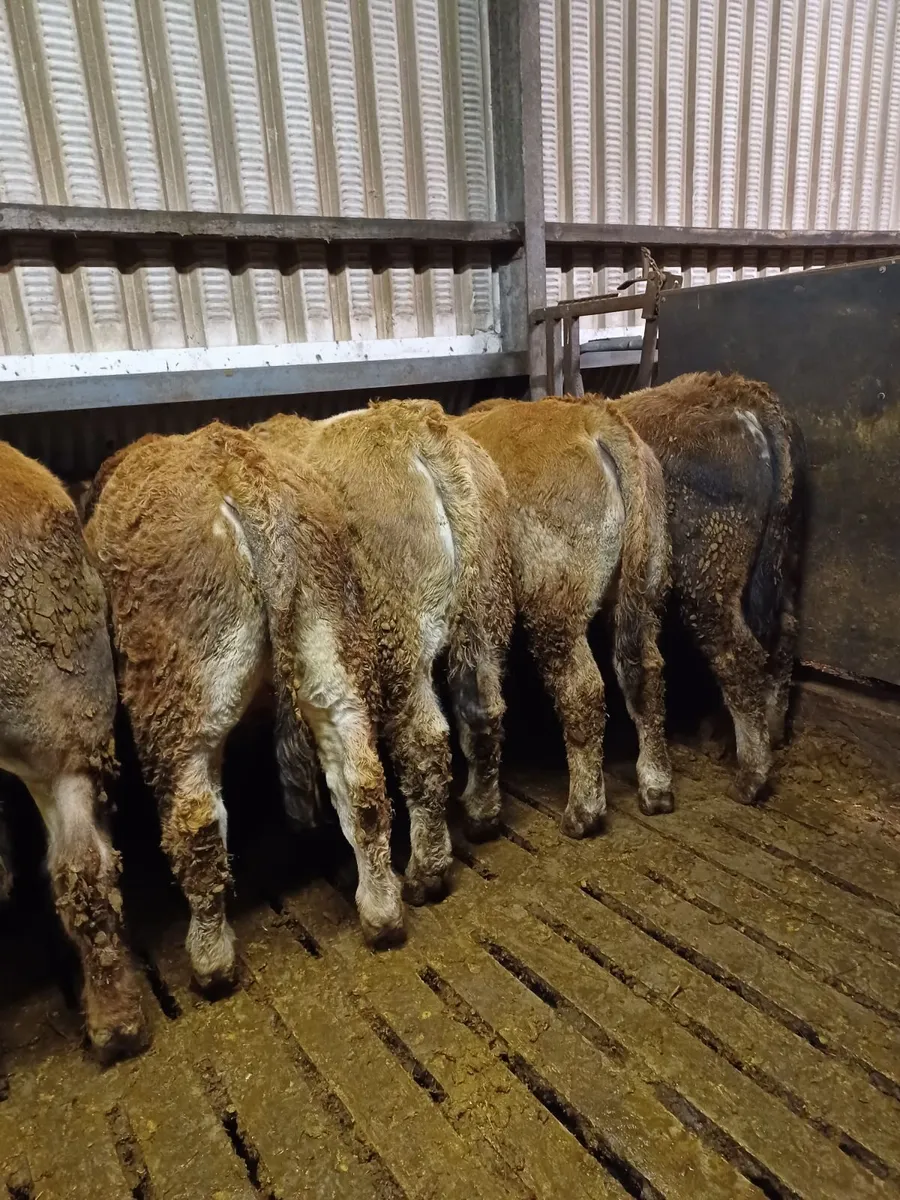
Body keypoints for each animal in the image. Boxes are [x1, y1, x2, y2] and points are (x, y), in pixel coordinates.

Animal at [83, 422, 404, 990]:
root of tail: (242, 471)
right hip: (334, 650)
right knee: (363, 784)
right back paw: (382, 911)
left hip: (182, 692)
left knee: (196, 823)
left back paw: (211, 960)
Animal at [252, 399, 514, 895]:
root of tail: (415, 429)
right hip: (486, 607)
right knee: (483, 710)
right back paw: (481, 814)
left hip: (399, 627)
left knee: (424, 743)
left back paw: (425, 872)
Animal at [457, 396, 673, 835]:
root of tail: (592, 416)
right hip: (647, 584)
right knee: (646, 673)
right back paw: (656, 786)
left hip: (555, 603)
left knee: (581, 691)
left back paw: (582, 812)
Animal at [612, 371, 805, 804]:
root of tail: (741, 395)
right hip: (779, 559)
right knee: (782, 635)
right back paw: (766, 731)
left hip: (707, 577)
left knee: (738, 653)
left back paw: (751, 776)